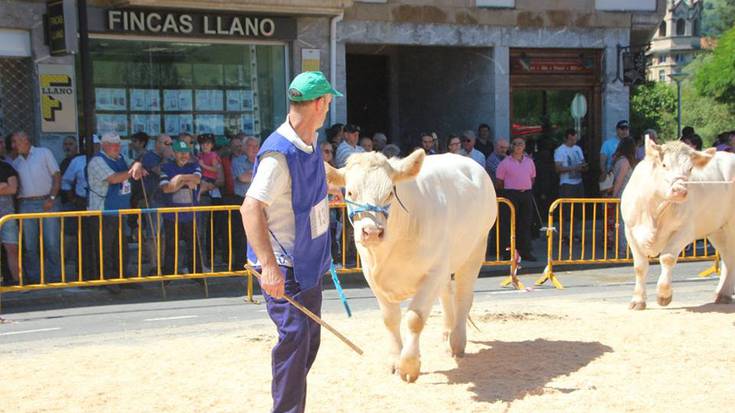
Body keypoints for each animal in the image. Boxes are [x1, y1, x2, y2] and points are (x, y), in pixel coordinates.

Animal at [326, 147, 494, 380]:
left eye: (390, 193)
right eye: (350, 193)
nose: (372, 232)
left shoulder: (433, 271)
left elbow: (415, 318)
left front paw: (409, 366)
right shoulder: (372, 276)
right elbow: (389, 319)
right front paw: (395, 360)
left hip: (476, 248)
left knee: (463, 296)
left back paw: (457, 342)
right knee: (447, 293)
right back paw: (447, 332)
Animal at [620, 138, 735, 308]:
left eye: (690, 168)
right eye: (664, 165)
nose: (680, 190)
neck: (655, 210)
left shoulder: (685, 231)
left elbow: (667, 257)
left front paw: (663, 294)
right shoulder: (630, 231)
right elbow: (640, 266)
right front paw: (638, 300)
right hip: (718, 229)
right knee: (728, 256)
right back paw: (723, 294)